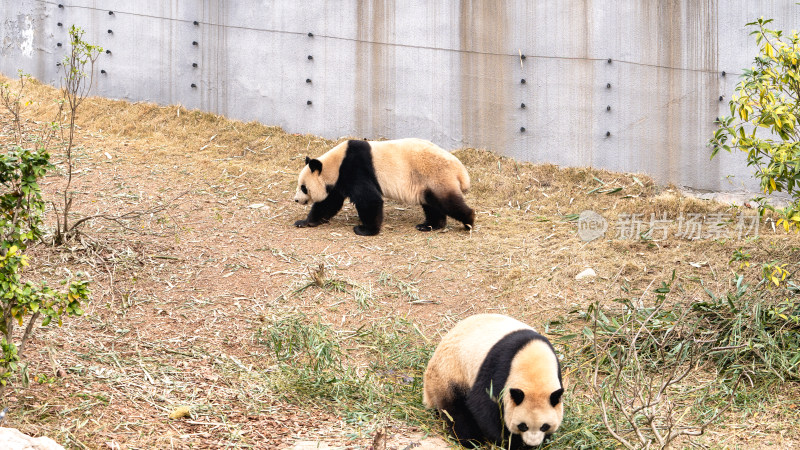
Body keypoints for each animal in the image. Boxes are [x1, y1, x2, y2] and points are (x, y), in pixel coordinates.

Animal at [294, 137, 476, 236]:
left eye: (303, 187)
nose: (296, 200)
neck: (335, 164)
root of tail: (460, 170)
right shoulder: (338, 181)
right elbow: (328, 203)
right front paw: (304, 222)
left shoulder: (355, 169)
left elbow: (369, 200)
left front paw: (365, 230)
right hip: (427, 183)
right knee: (432, 204)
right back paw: (429, 225)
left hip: (436, 175)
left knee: (447, 202)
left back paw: (469, 221)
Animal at [424, 314, 564, 448]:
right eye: (523, 426)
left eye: (544, 426)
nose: (532, 443)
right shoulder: (499, 365)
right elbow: (482, 404)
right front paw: (509, 441)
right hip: (450, 373)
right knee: (455, 409)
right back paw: (472, 440)